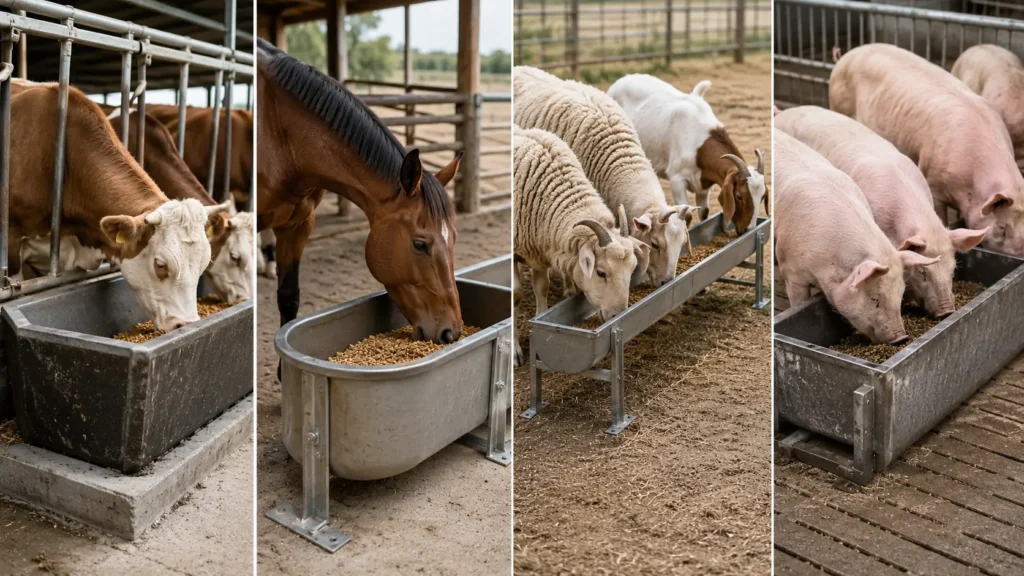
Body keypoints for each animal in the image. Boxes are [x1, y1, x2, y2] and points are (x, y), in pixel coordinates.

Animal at [256, 38, 464, 344]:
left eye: (454, 239)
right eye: (420, 244)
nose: (451, 332)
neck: (280, 135)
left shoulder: (298, 225)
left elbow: (288, 299)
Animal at [513, 66, 695, 288]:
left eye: (682, 243)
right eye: (655, 244)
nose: (666, 282)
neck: (619, 155)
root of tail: (519, 68)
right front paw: (569, 287)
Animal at [513, 124, 641, 323]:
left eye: (632, 269)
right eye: (601, 273)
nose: (616, 316)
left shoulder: (538, 252)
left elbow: (542, 288)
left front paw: (540, 313)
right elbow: (516, 293)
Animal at [607, 74, 768, 235]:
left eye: (762, 197)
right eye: (739, 196)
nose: (747, 229)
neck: (699, 144)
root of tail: (622, 79)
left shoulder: (704, 185)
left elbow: (704, 212)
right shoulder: (677, 180)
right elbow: (687, 215)